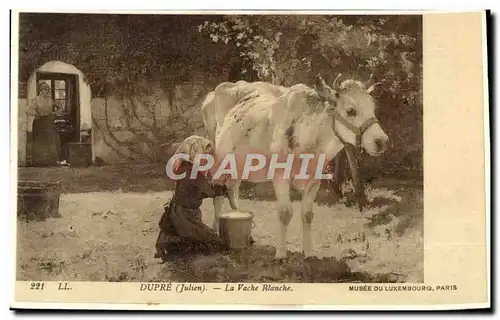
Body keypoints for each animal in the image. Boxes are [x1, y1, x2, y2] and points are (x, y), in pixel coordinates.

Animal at [201, 75, 388, 260]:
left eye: (373, 108)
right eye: (351, 110)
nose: (382, 141)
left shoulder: (315, 179)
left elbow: (307, 215)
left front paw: (309, 252)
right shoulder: (280, 176)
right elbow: (285, 213)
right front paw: (281, 253)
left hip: (238, 164)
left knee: (232, 190)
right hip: (219, 160)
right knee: (218, 195)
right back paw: (217, 229)